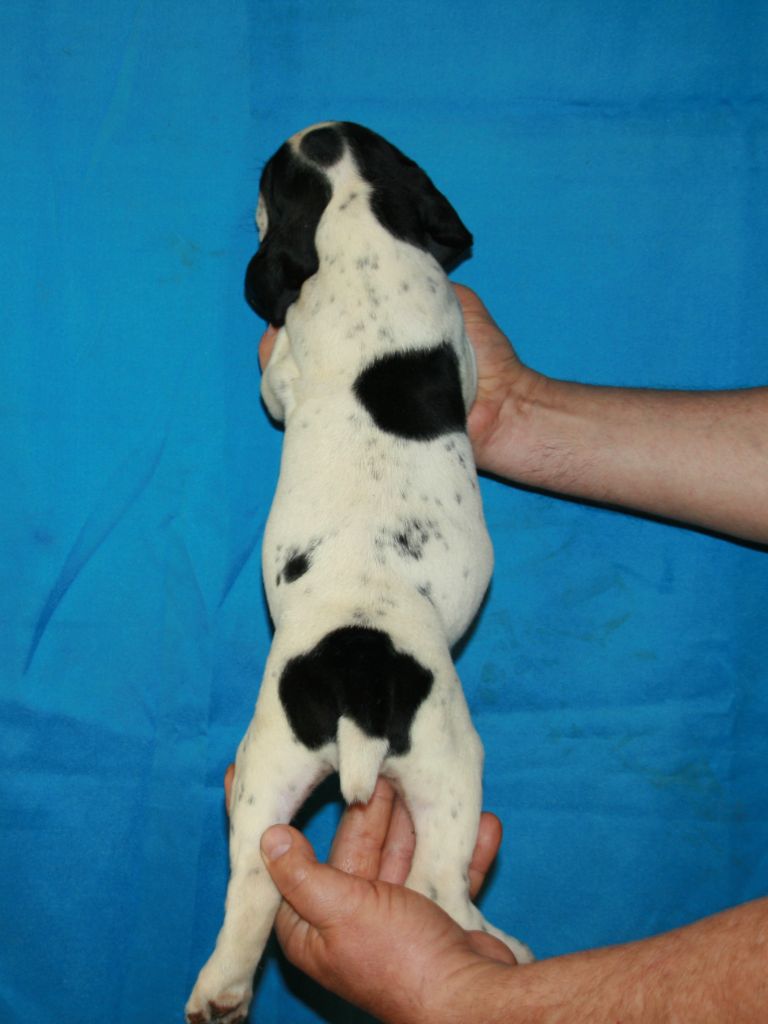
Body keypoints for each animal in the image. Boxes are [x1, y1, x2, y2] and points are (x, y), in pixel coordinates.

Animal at [186, 121, 532, 1024]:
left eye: (270, 178)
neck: (361, 233)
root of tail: (360, 674)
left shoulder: (288, 367)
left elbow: (277, 373)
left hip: (313, 760)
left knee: (373, 885)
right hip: (395, 769)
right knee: (401, 884)